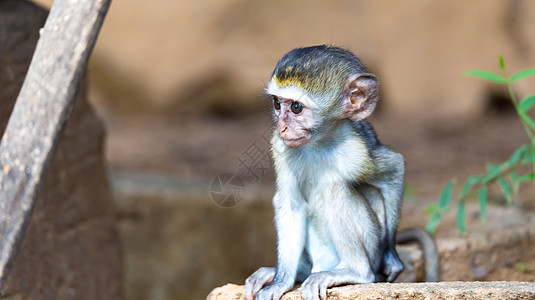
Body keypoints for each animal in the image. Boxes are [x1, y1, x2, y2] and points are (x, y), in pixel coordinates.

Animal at [245, 45, 438, 300]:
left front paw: (390, 255)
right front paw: (280, 281)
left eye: (296, 107)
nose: (282, 127)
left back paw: (355, 271)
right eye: (277, 104)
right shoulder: (280, 147)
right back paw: (292, 272)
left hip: (369, 247)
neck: (320, 143)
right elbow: (291, 203)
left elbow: (394, 168)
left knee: (336, 189)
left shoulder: (357, 153)